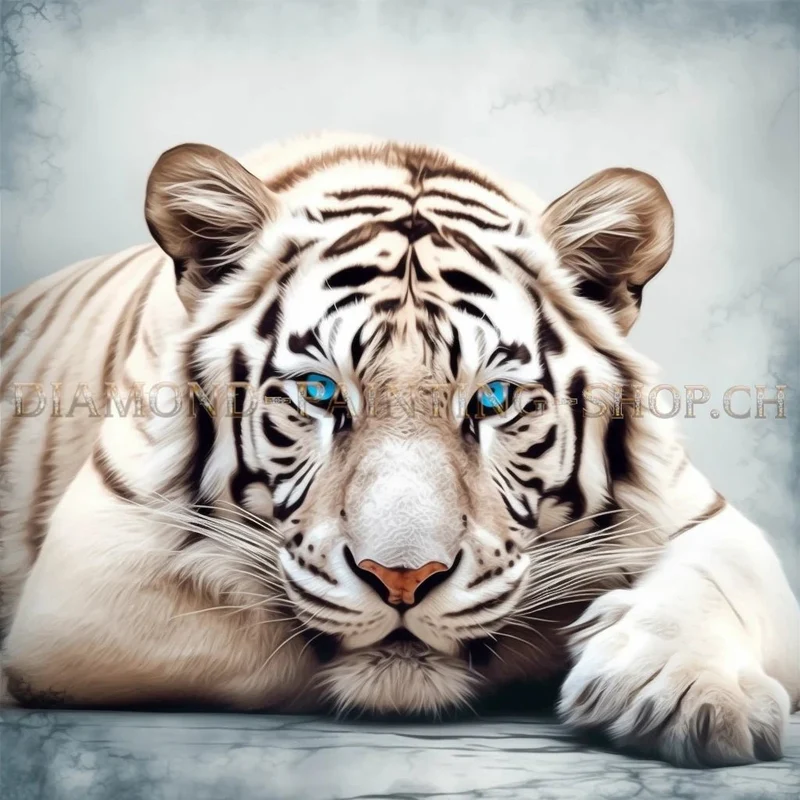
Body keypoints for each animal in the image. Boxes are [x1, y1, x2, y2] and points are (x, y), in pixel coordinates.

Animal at [0, 131, 797, 767]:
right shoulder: (90, 575)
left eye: (493, 399)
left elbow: (719, 577)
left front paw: (684, 692)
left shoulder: (705, 513)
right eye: (320, 391)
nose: (404, 579)